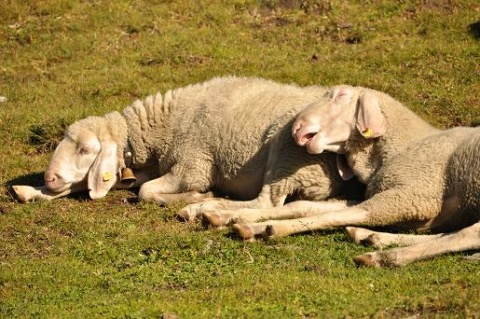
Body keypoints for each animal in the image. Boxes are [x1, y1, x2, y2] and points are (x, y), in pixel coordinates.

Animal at [10, 76, 364, 220]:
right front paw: (31, 190)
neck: (164, 126)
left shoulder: (192, 166)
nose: (51, 177)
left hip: (288, 153)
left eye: (85, 150)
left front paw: (194, 197)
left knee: (266, 202)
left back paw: (207, 207)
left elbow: (147, 192)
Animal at [222, 85, 480, 268]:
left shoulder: (411, 197)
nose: (296, 128)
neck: (405, 144)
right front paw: (235, 217)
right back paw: (371, 237)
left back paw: (384, 256)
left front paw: (270, 227)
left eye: (341, 95)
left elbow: (335, 215)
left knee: (467, 234)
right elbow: (305, 206)